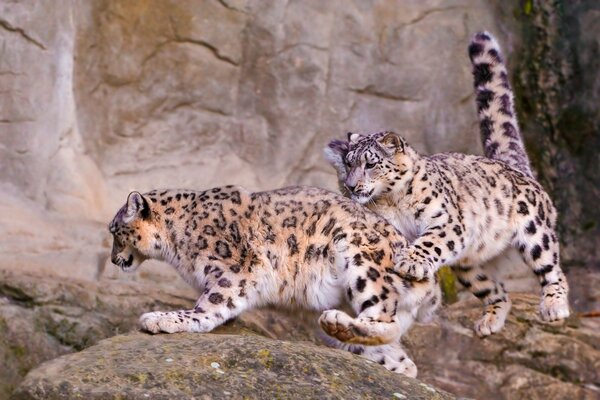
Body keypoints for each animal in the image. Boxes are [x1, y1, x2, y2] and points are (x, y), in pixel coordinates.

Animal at [109, 186, 440, 376]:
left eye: (115, 232)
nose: (113, 259)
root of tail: (433, 283)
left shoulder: (236, 268)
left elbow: (212, 303)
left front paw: (168, 319)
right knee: (405, 360)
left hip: (362, 259)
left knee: (385, 319)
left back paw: (336, 323)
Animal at [326, 32, 568, 338]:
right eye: (348, 163)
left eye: (370, 164)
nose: (352, 186)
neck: (393, 200)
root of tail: (513, 166)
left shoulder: (447, 220)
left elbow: (429, 241)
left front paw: (410, 262)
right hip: (468, 266)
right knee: (496, 290)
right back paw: (489, 322)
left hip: (536, 231)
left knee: (552, 268)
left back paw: (554, 307)